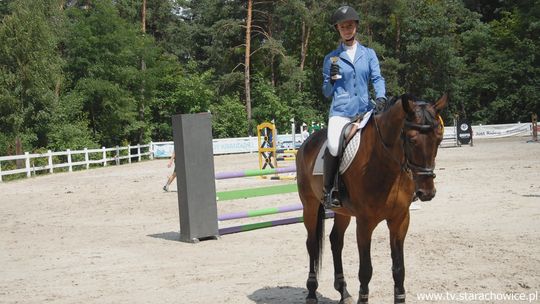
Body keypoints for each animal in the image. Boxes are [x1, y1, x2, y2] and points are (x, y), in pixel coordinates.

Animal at [296, 94, 448, 302]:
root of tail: (306, 143)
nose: (427, 192)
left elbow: (399, 269)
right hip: (309, 205)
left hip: (342, 211)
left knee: (336, 240)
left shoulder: (400, 220)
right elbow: (366, 270)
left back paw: (343, 291)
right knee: (311, 244)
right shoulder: (365, 223)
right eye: (411, 139)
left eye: (439, 139)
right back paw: (311, 292)